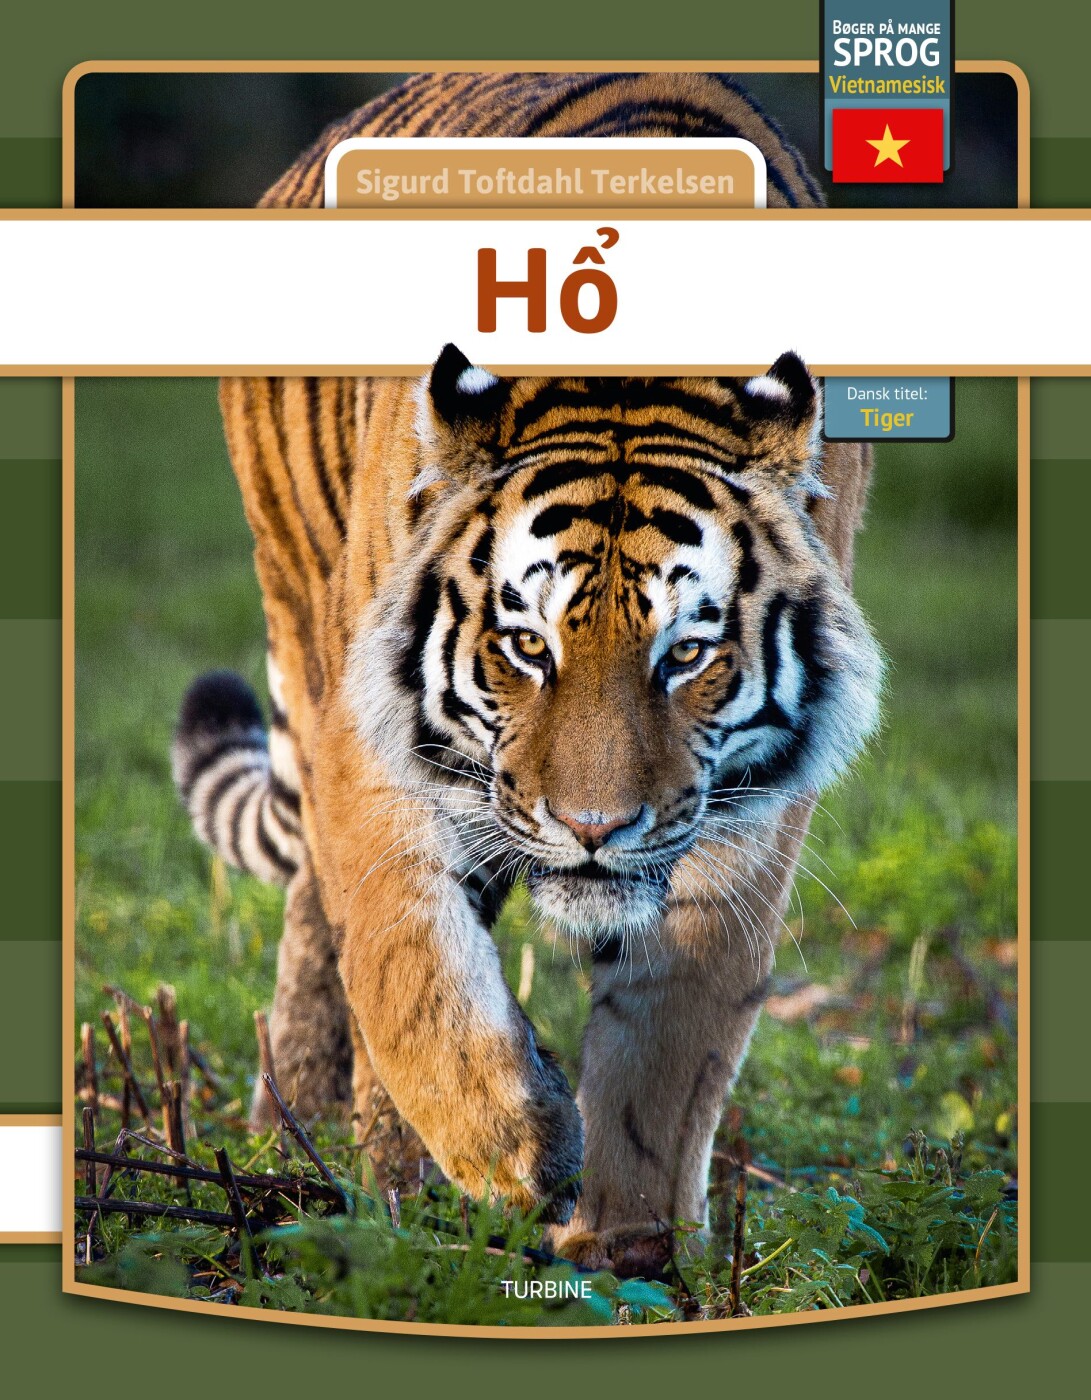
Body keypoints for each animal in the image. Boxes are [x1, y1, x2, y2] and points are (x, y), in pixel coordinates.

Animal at [170, 71, 881, 1276]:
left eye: (685, 653)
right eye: (527, 645)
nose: (592, 829)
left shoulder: (744, 815)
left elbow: (672, 1035)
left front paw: (629, 1247)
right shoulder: (377, 753)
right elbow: (409, 968)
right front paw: (515, 1149)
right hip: (304, 622)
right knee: (331, 919)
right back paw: (346, 1156)